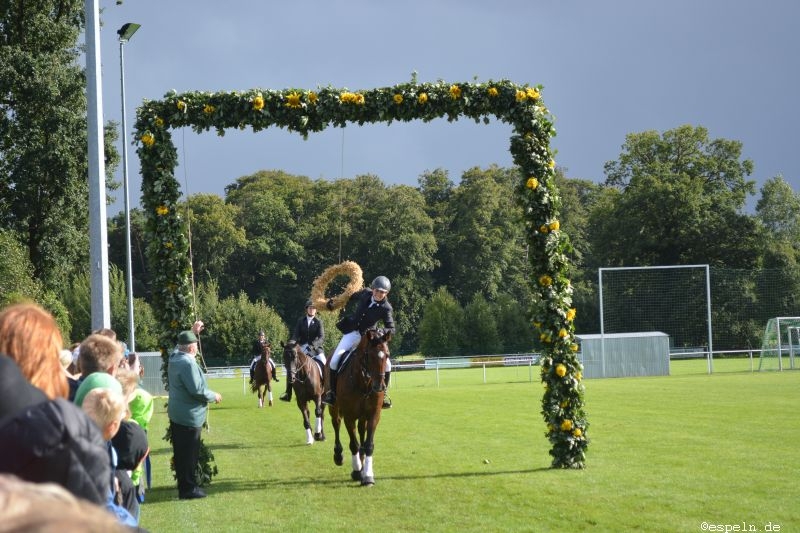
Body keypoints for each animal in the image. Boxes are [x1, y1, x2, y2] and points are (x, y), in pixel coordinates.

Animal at [327, 329, 391, 486]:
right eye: (370, 356)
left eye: (387, 355)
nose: (379, 387)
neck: (364, 382)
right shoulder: (349, 416)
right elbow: (354, 444)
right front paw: (357, 471)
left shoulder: (373, 415)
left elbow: (368, 444)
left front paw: (367, 475)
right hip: (335, 409)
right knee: (336, 424)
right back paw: (338, 455)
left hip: (363, 416)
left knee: (362, 430)